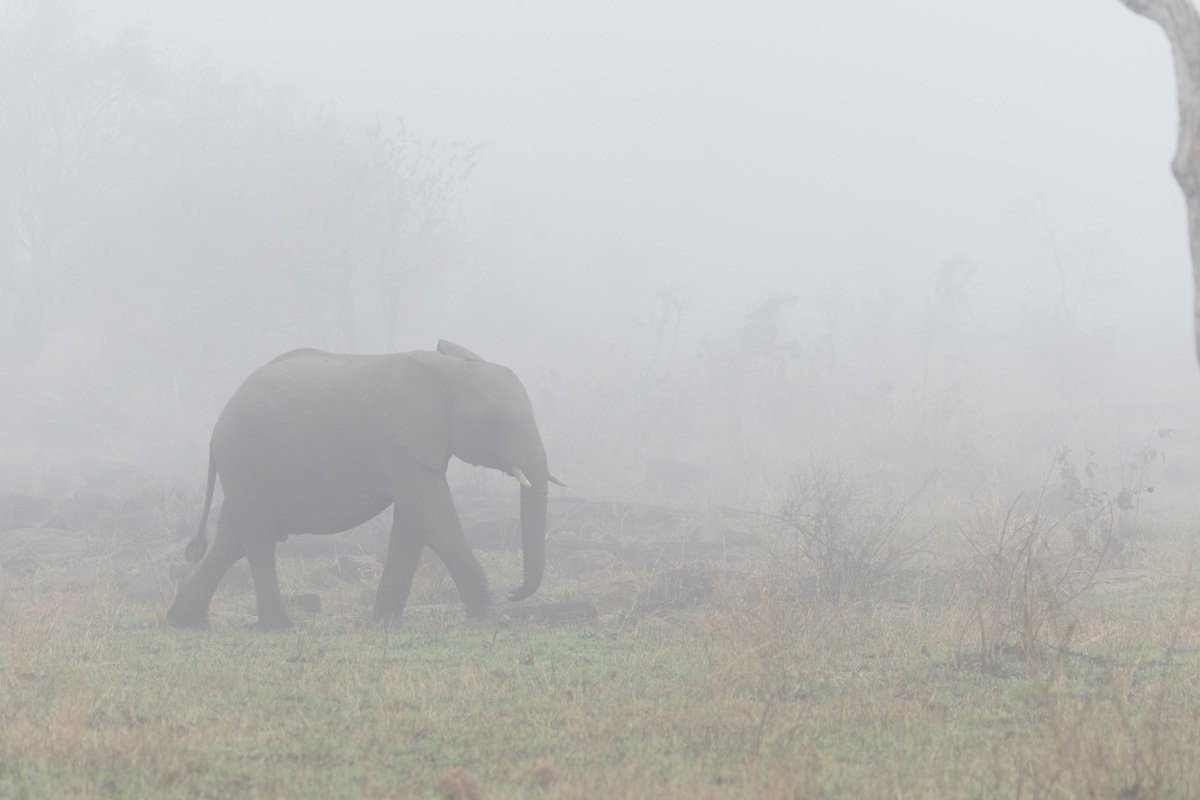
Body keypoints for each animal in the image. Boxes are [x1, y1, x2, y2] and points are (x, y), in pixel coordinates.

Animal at [166, 340, 562, 630]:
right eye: (491, 422)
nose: (514, 592)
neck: (446, 371)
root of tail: (217, 427)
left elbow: (413, 522)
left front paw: (385, 624)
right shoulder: (397, 443)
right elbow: (431, 513)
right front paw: (495, 618)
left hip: (245, 467)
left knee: (232, 540)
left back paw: (184, 620)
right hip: (244, 457)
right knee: (258, 538)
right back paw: (280, 627)